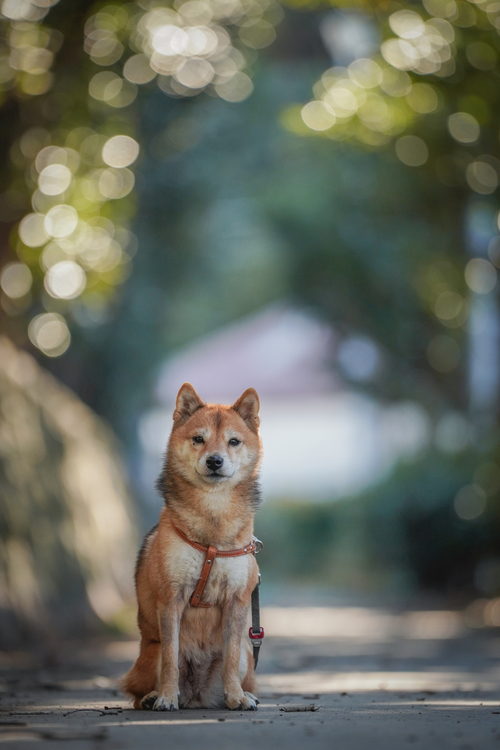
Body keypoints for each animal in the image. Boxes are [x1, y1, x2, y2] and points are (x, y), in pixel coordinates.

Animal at [122, 384, 262, 712]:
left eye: (233, 441)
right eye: (198, 439)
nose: (214, 461)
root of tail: (197, 697)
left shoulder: (237, 600)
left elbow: (231, 657)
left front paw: (236, 697)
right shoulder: (170, 598)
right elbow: (171, 658)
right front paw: (166, 697)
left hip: (248, 652)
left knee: (236, 663)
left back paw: (243, 694)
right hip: (149, 655)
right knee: (137, 691)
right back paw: (152, 697)